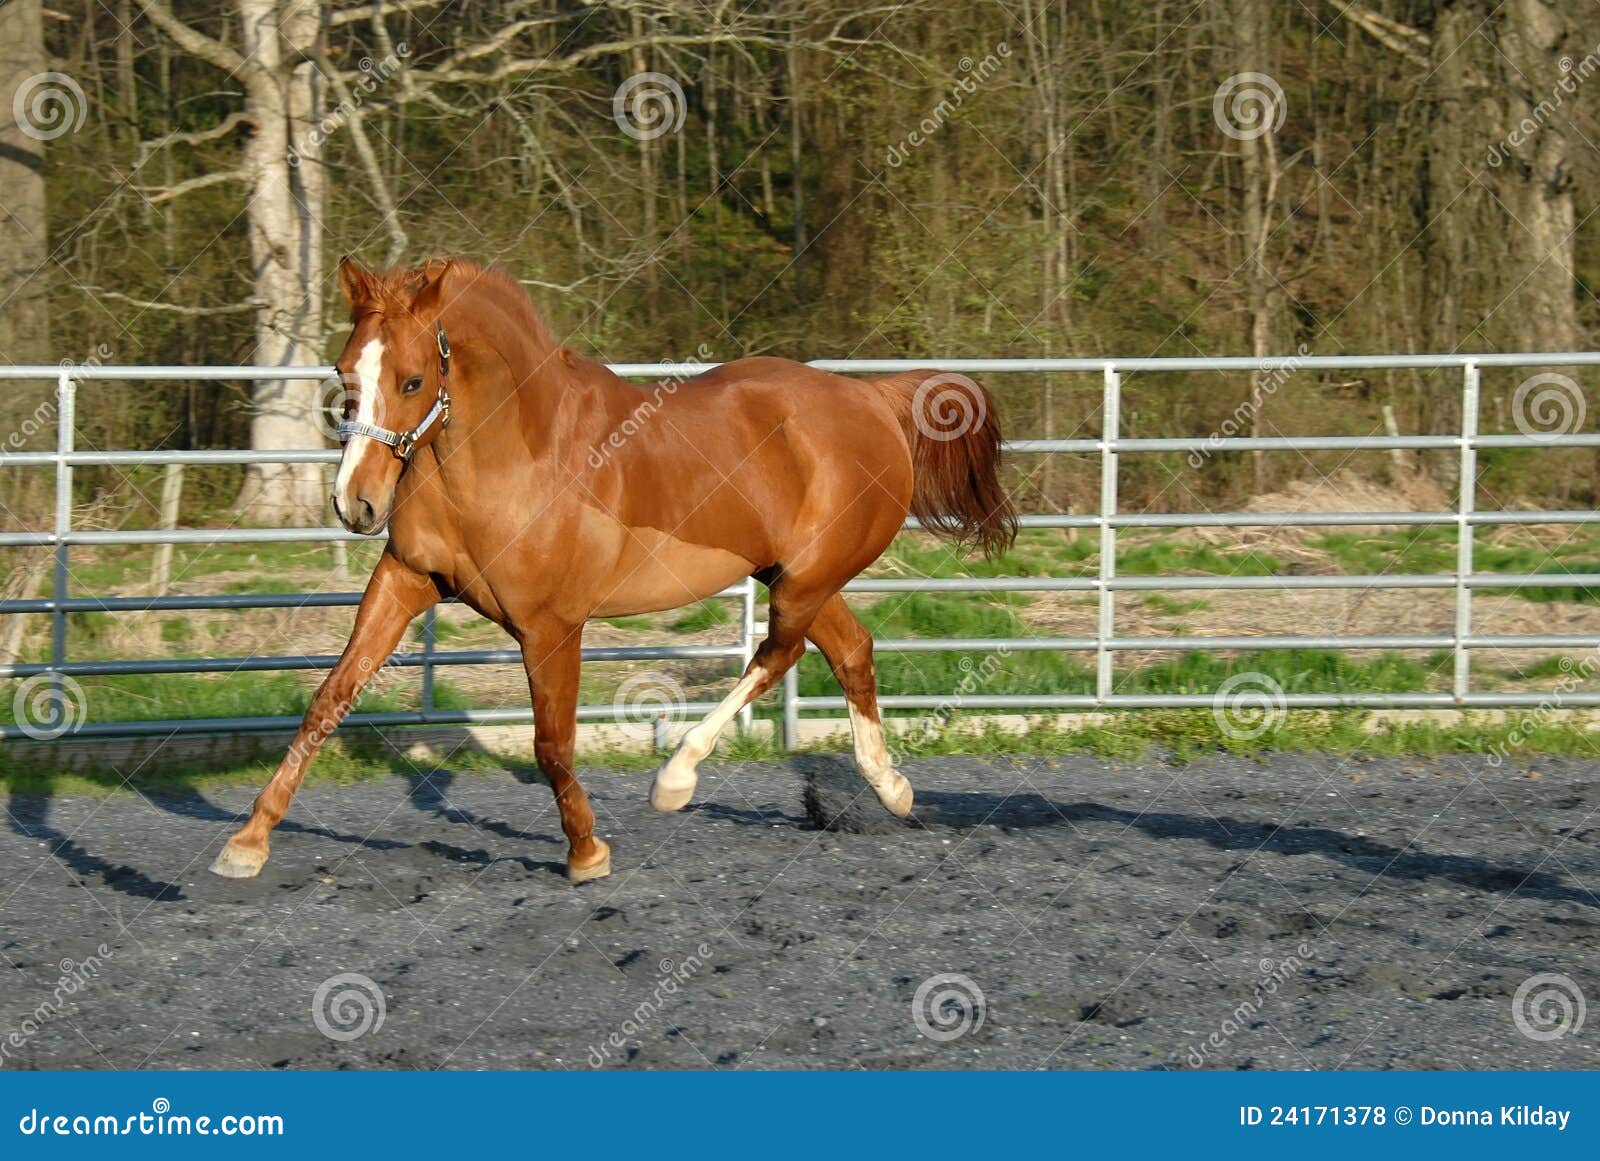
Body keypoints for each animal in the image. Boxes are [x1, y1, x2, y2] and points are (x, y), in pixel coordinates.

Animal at [209, 257, 1016, 884]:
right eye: (344, 371)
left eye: (411, 381)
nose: (357, 504)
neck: (509, 459)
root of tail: (870, 397)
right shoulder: (406, 581)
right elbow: (328, 700)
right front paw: (246, 843)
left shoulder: (551, 626)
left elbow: (551, 743)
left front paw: (586, 853)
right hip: (793, 577)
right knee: (850, 651)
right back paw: (892, 790)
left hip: (805, 581)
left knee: (776, 654)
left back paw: (677, 779)